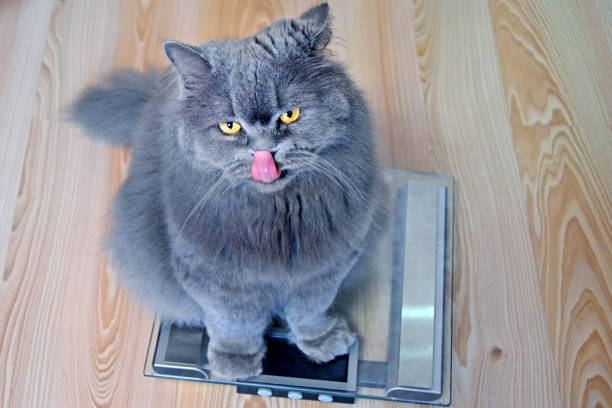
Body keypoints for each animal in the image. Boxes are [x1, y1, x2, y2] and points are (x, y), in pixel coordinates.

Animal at [69, 3, 384, 380]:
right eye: (230, 126)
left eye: (290, 115)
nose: (265, 151)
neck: (274, 221)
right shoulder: (215, 279)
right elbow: (234, 323)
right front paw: (235, 363)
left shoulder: (325, 267)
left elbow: (309, 311)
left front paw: (321, 342)